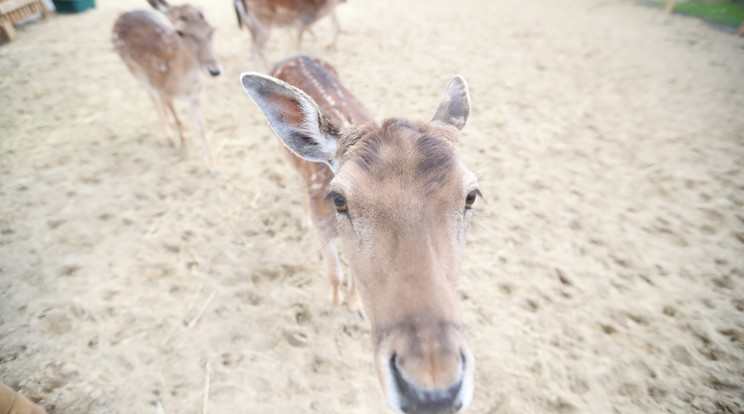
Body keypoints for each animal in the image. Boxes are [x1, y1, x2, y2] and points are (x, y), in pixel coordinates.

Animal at [110, 0, 221, 172]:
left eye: (212, 28)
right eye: (180, 32)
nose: (214, 70)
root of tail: (122, 14)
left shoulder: (195, 96)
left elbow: (202, 129)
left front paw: (214, 169)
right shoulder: (164, 91)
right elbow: (179, 120)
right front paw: (183, 145)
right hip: (135, 71)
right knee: (152, 98)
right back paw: (169, 137)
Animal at [241, 60, 480, 410]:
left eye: (471, 196)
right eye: (339, 199)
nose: (432, 391)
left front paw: (356, 306)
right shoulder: (324, 223)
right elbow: (334, 272)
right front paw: (335, 303)